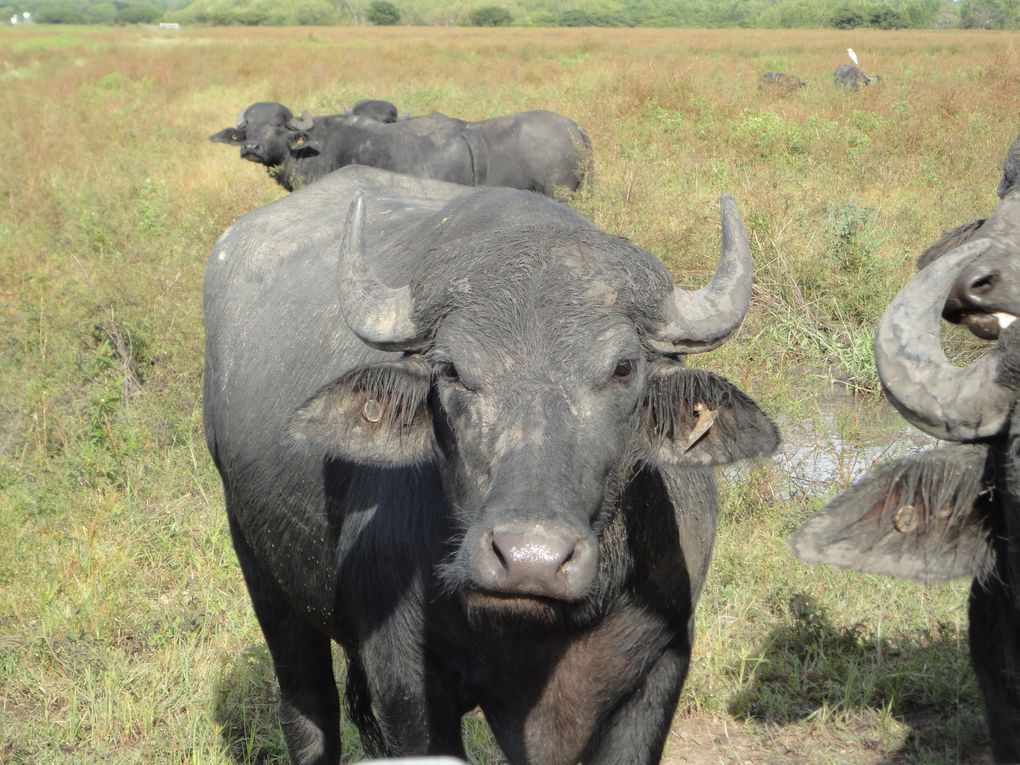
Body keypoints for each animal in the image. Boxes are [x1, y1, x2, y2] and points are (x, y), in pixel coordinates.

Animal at [202, 165, 775, 762]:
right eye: (452, 370)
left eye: (623, 368)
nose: (530, 559)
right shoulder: (405, 681)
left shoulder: (660, 672)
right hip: (262, 572)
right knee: (307, 707)